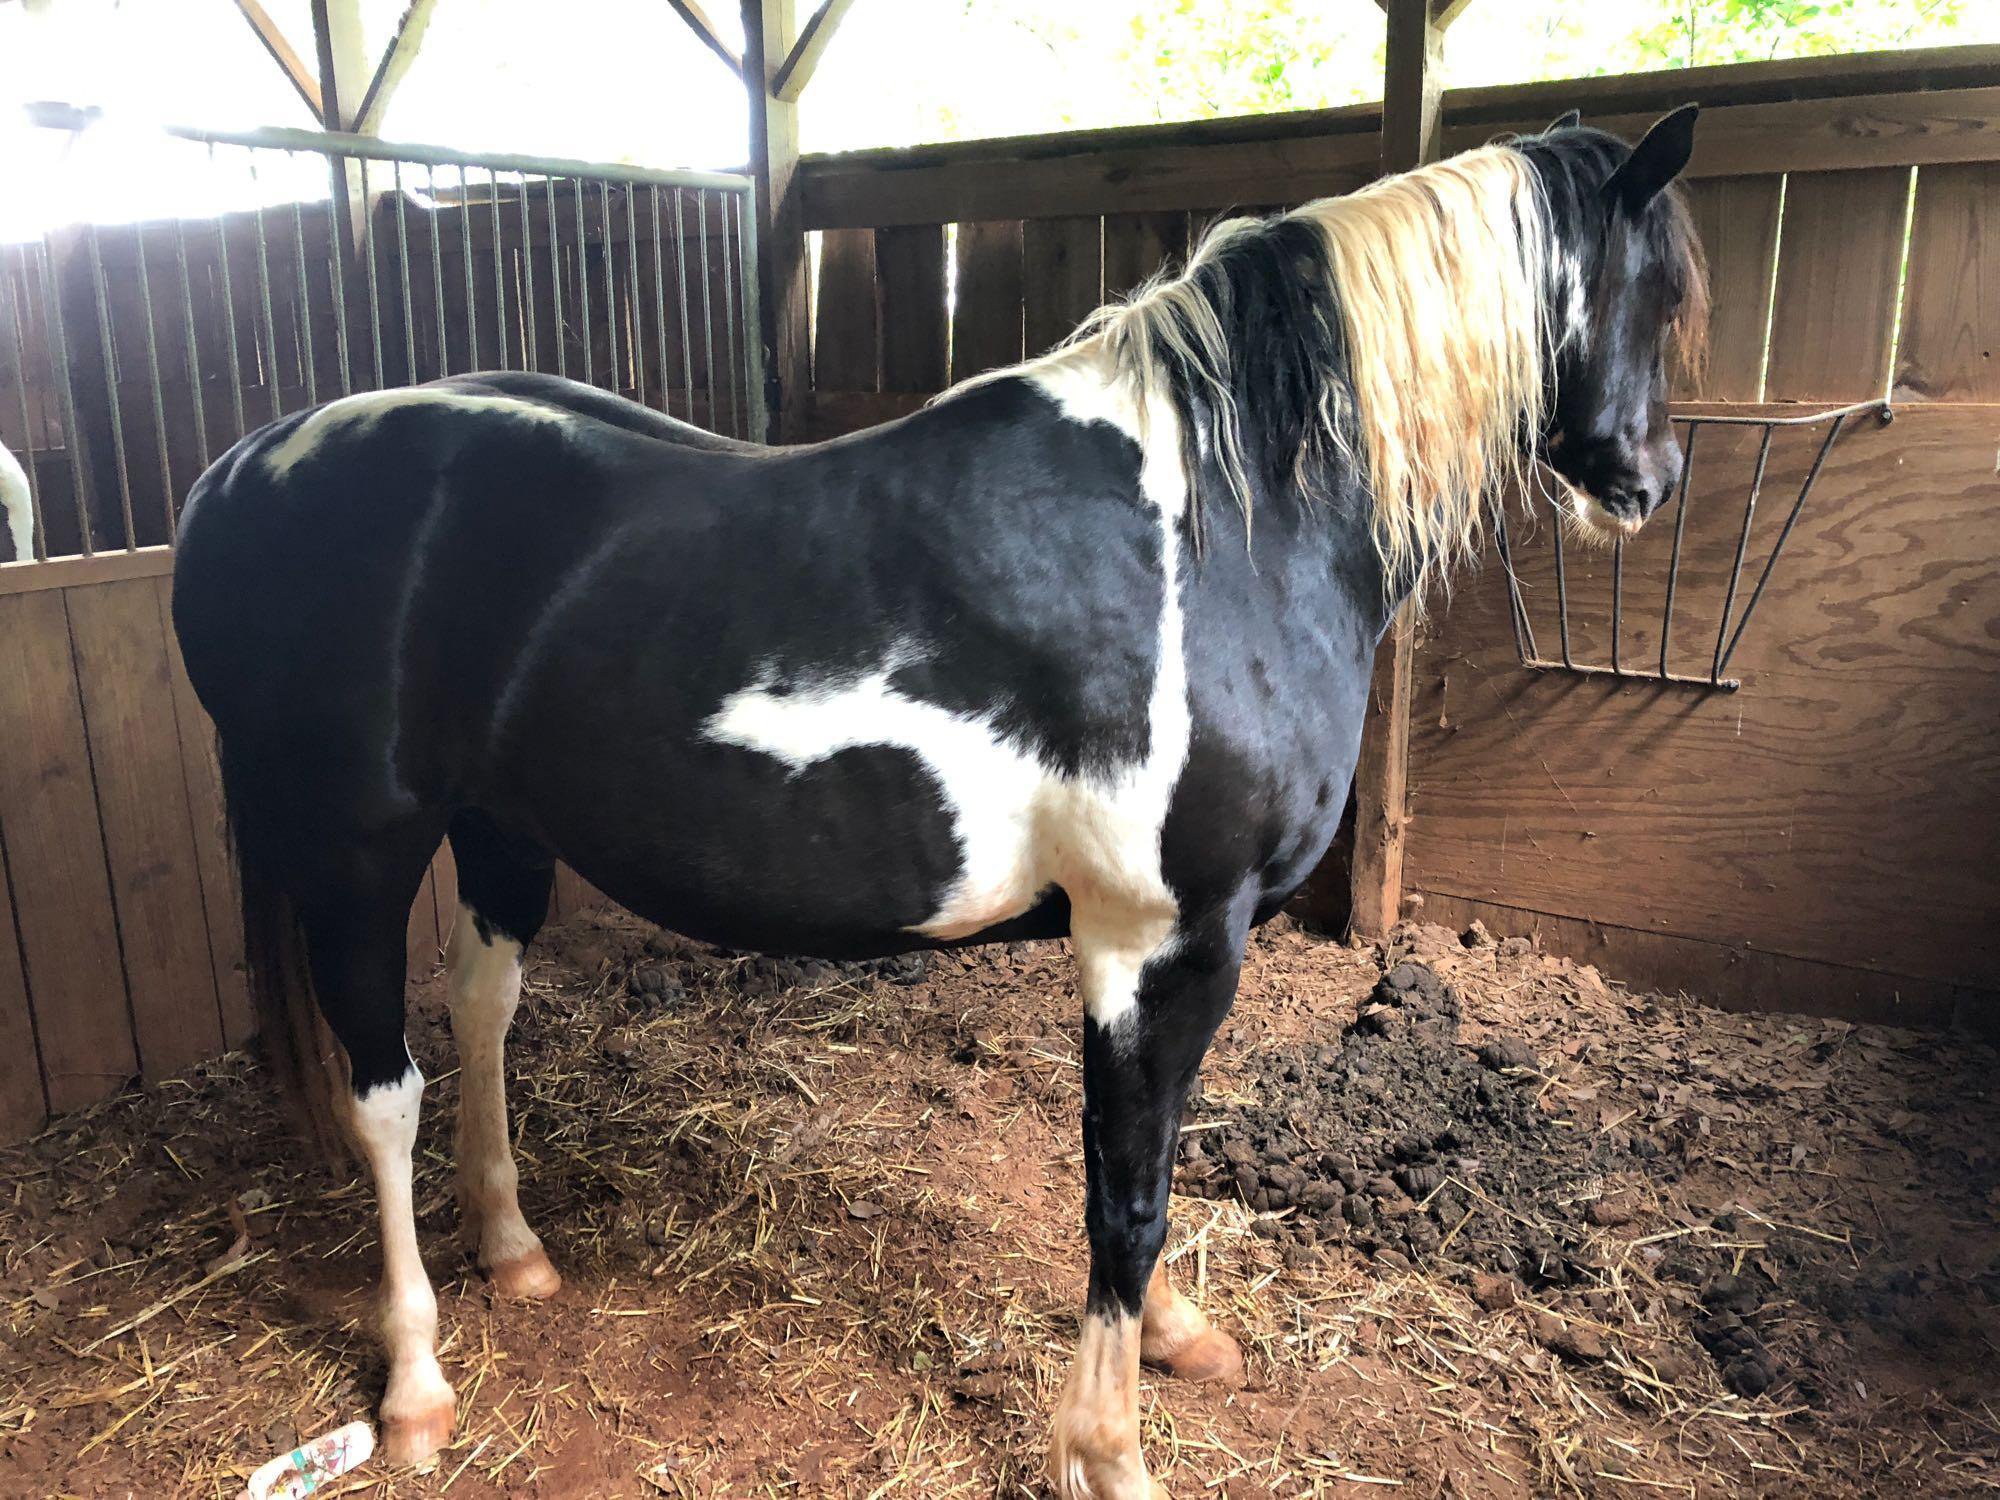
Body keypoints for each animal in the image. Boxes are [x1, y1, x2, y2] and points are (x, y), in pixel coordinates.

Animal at [171, 106, 1705, 1497]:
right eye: (1663, 292)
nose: (1647, 482)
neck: (1219, 528)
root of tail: (243, 465)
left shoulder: (1172, 949)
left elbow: (1148, 1169)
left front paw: (1172, 1341)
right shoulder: (1158, 938)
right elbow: (1125, 1193)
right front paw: (1110, 1452)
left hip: (500, 826)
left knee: (481, 1014)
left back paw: (513, 1250)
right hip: (360, 846)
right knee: (384, 1092)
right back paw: (417, 1386)